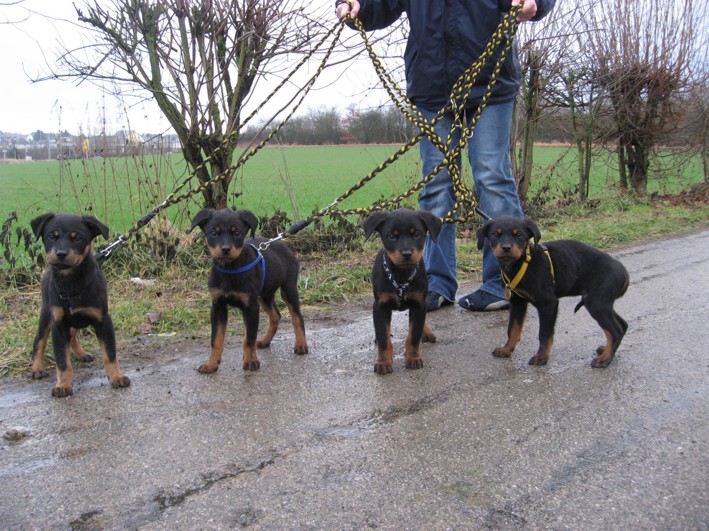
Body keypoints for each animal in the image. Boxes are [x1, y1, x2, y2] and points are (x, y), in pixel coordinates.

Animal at [29, 214, 131, 396]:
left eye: (78, 238)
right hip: (47, 314)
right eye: (51, 236)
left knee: (73, 335)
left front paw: (117, 377)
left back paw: (81, 354)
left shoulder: (102, 320)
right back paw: (37, 368)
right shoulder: (59, 325)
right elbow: (62, 361)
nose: (61, 253)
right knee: (39, 340)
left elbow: (110, 354)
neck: (71, 283)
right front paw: (63, 385)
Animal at [191, 208, 306, 374]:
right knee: (275, 316)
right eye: (213, 232)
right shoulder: (218, 305)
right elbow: (216, 339)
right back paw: (265, 341)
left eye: (237, 233)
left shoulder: (251, 306)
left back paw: (301, 344)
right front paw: (211, 364)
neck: (230, 270)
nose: (225, 249)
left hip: (288, 289)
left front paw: (251, 361)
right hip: (264, 295)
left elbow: (249, 338)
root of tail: (281, 242)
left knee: (297, 317)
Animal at [362, 208, 440, 374]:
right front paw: (384, 362)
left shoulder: (418, 303)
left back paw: (426, 332)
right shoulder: (380, 306)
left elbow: (414, 335)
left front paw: (413, 358)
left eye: (417, 234)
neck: (401, 274)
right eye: (391, 236)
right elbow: (384, 337)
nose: (406, 254)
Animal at [478, 216, 628, 370]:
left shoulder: (548, 303)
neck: (522, 263)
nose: (506, 248)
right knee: (622, 325)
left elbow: (544, 334)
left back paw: (604, 359)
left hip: (597, 302)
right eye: (495, 235)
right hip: (598, 302)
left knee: (615, 331)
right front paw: (506, 349)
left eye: (519, 235)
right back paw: (606, 350)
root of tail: (623, 272)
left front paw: (541, 357)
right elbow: (513, 329)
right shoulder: (517, 303)